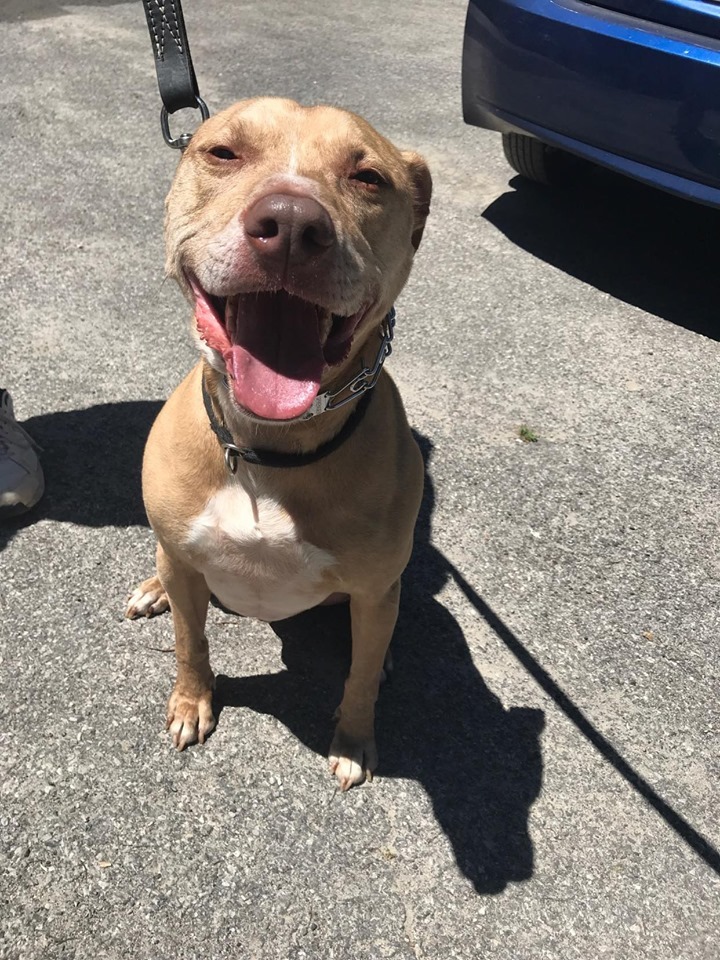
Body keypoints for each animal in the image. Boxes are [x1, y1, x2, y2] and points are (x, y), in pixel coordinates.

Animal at [126, 95, 430, 788]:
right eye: (223, 152)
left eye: (368, 177)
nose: (291, 223)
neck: (265, 447)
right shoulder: (187, 565)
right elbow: (190, 642)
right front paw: (192, 702)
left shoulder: (374, 590)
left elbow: (360, 678)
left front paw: (353, 740)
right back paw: (153, 588)